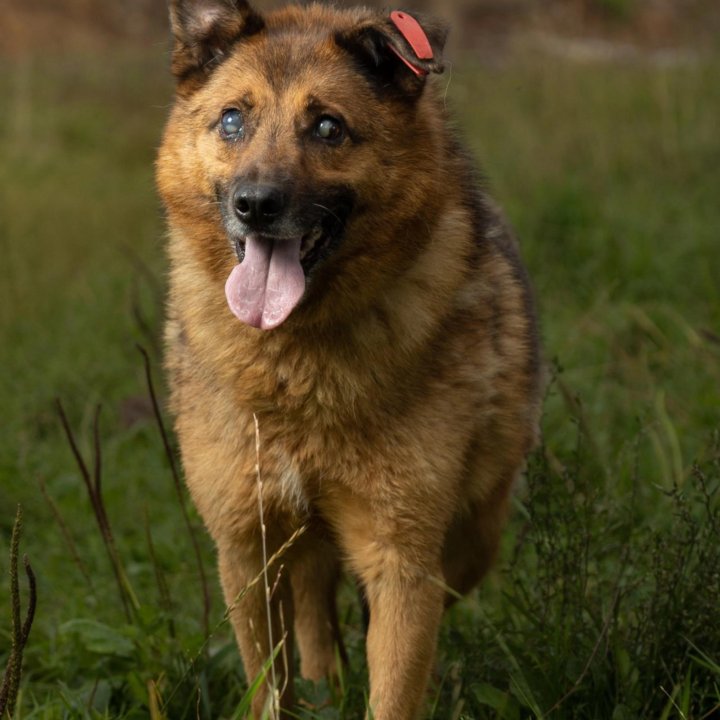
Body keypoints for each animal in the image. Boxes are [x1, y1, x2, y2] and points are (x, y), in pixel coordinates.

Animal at [156, 2, 540, 716]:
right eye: (232, 119)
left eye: (328, 127)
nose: (256, 204)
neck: (296, 364)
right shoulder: (247, 548)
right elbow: (268, 685)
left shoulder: (402, 560)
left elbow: (393, 686)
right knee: (314, 616)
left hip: (472, 534)